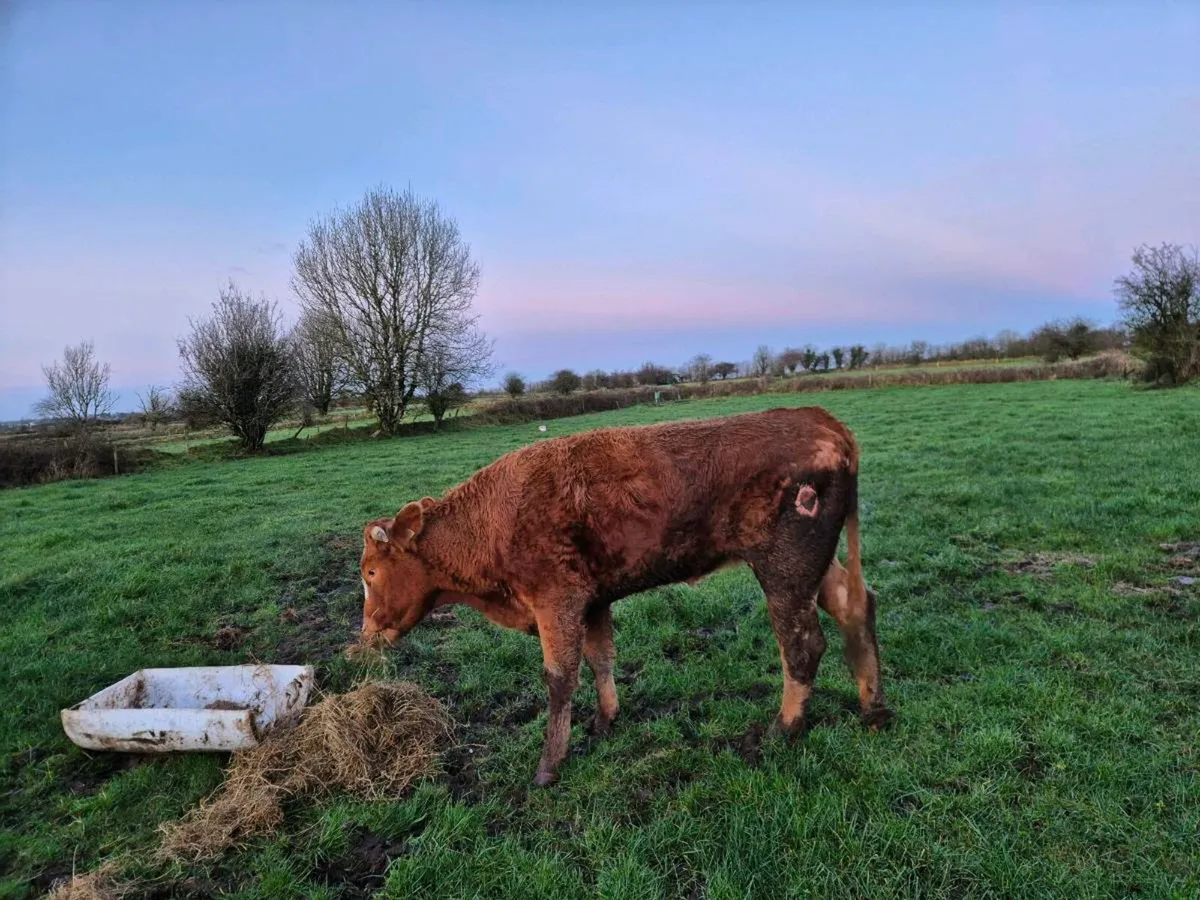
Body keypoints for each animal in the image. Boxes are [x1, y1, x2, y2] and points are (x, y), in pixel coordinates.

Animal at [358, 406, 893, 786]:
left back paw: (785, 728)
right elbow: (601, 659)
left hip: (785, 569)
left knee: (802, 644)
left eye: (370, 571)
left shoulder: (557, 602)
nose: (366, 633)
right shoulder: (593, 601)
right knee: (855, 606)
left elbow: (559, 679)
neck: (492, 520)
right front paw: (605, 719)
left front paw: (549, 766)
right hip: (814, 568)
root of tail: (820, 421)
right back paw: (873, 710)